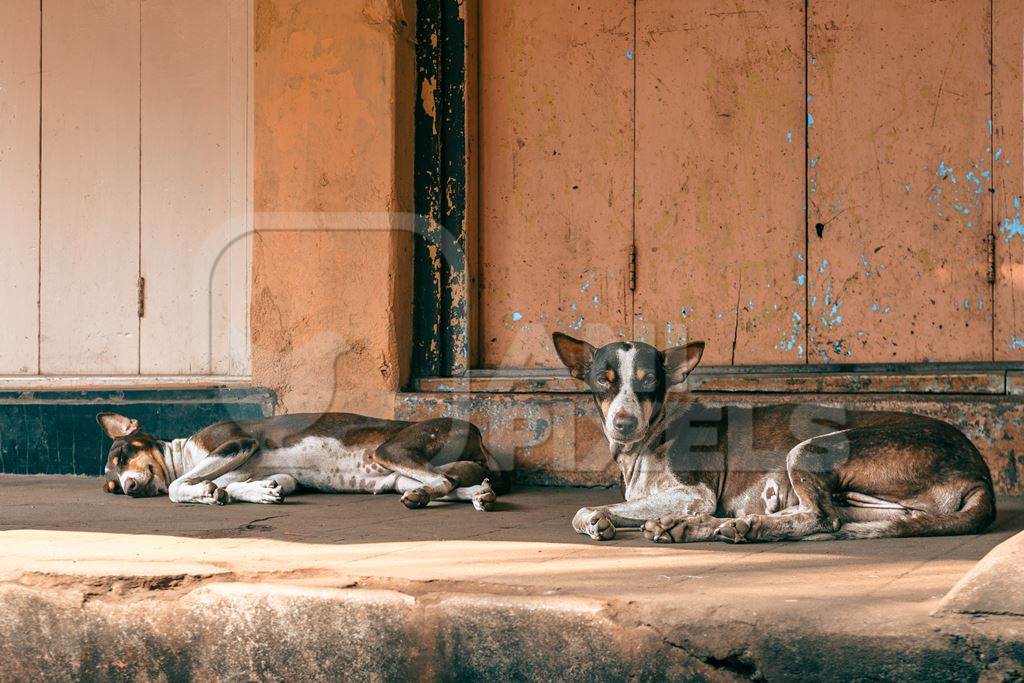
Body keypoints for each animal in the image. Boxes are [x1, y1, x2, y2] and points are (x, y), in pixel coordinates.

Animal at [557, 331, 995, 544]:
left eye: (649, 382)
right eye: (603, 381)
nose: (624, 423)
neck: (648, 440)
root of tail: (981, 475)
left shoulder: (695, 493)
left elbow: (585, 509)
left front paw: (597, 518)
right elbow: (616, 509)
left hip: (808, 450)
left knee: (822, 518)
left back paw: (741, 527)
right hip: (880, 506)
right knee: (827, 518)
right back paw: (704, 526)